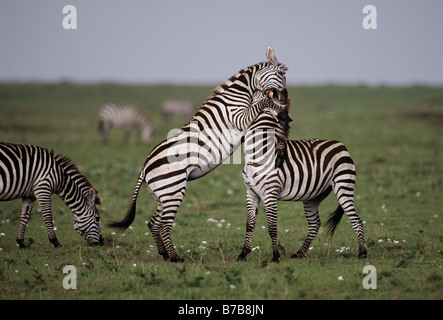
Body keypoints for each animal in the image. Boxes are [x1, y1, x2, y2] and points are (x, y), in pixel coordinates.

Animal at [107, 47, 288, 262]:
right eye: (281, 73)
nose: (285, 95)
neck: (240, 94)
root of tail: (145, 166)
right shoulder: (238, 118)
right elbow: (262, 103)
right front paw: (276, 107)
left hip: (163, 193)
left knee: (153, 223)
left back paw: (164, 254)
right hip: (173, 190)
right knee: (164, 225)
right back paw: (175, 257)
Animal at [239, 97, 368, 262]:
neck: (258, 157)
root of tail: (340, 144)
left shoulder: (270, 193)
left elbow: (272, 227)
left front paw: (275, 256)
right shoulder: (251, 192)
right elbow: (249, 224)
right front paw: (243, 253)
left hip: (343, 185)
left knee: (356, 220)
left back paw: (362, 252)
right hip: (313, 196)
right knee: (314, 224)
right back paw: (300, 252)